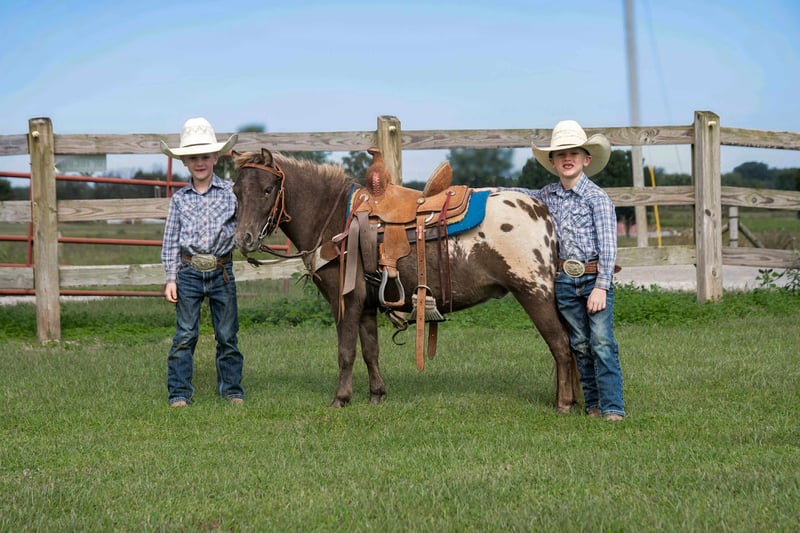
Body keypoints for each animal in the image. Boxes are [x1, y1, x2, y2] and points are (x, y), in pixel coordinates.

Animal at [232, 148, 579, 413]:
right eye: (236, 191)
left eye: (267, 190)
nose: (243, 238)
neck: (334, 219)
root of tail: (541, 211)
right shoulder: (366, 305)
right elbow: (370, 350)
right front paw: (376, 395)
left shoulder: (345, 301)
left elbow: (346, 352)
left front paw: (340, 399)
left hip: (534, 293)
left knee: (561, 345)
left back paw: (563, 404)